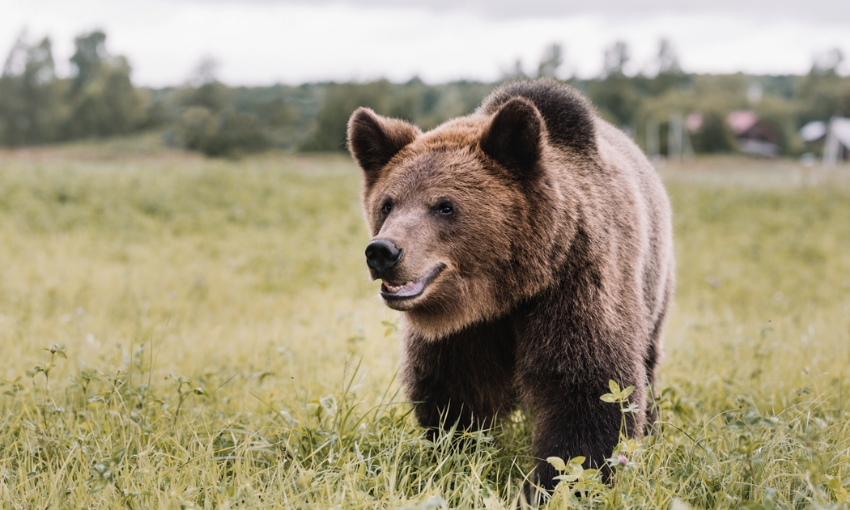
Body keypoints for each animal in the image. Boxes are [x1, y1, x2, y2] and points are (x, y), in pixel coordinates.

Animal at [348, 78, 672, 498]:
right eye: (388, 204)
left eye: (445, 206)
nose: (383, 251)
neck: (503, 293)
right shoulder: (463, 333)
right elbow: (455, 392)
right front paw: (458, 459)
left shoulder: (576, 286)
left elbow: (590, 391)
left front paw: (556, 486)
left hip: (653, 287)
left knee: (647, 362)